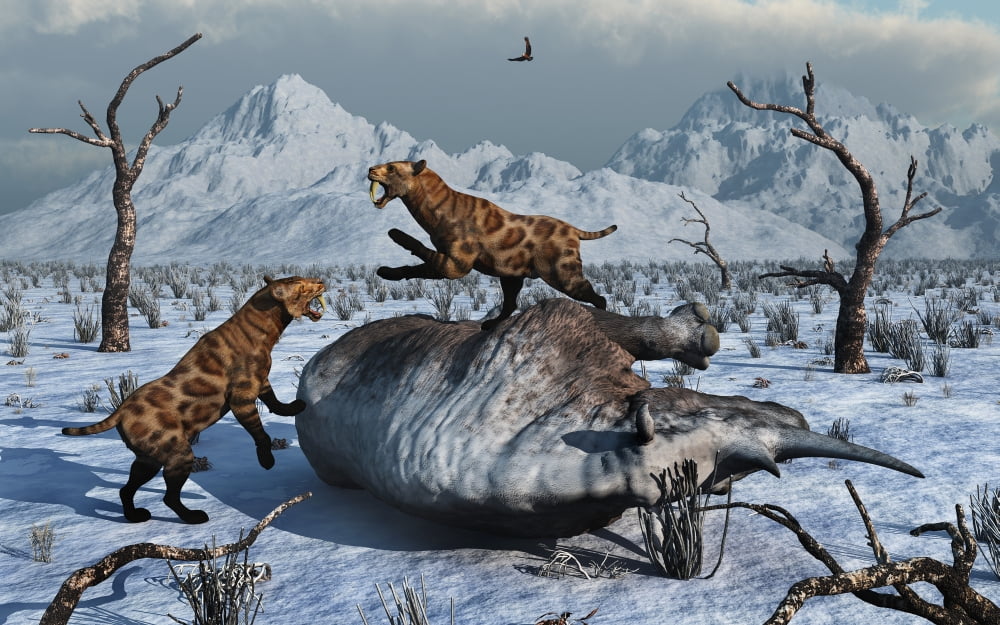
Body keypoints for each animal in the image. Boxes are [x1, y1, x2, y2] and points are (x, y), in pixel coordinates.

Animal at [61, 276, 326, 524]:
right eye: (302, 285)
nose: (322, 282)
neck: (265, 328)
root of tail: (120, 410)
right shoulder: (241, 397)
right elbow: (260, 432)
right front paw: (267, 460)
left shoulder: (260, 382)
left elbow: (274, 402)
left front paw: (294, 407)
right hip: (177, 453)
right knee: (168, 496)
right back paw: (193, 517)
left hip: (147, 460)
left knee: (126, 490)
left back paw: (135, 516)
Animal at [367, 159, 616, 330]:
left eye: (391, 167)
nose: (370, 169)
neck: (434, 210)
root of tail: (574, 230)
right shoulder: (450, 262)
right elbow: (415, 268)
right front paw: (387, 271)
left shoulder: (456, 265)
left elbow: (419, 252)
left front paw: (395, 235)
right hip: (512, 276)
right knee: (510, 304)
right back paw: (490, 324)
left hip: (563, 274)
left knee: (598, 297)